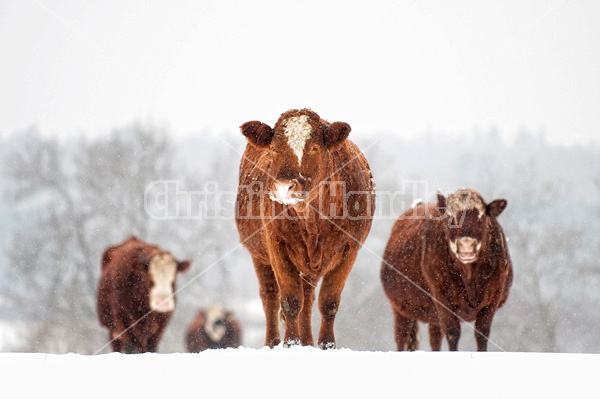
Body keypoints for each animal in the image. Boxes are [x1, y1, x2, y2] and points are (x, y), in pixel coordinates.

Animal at [236, 109, 372, 350]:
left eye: (315, 147)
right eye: (274, 148)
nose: (283, 187)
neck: (312, 221)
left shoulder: (350, 249)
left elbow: (329, 302)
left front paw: (326, 345)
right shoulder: (277, 246)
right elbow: (290, 300)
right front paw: (290, 344)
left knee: (308, 299)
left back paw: (308, 342)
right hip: (259, 255)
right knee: (270, 297)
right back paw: (272, 343)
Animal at [382, 189, 512, 352]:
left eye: (482, 217)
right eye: (450, 217)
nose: (466, 245)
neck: (470, 276)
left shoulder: (495, 294)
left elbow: (482, 333)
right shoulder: (441, 295)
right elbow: (453, 332)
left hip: (432, 316)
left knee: (435, 338)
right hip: (401, 308)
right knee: (402, 337)